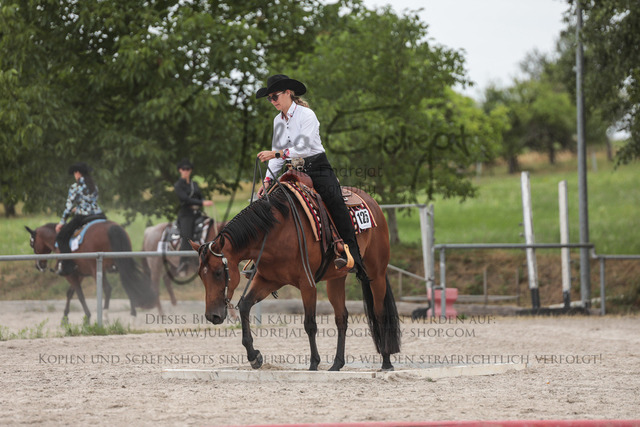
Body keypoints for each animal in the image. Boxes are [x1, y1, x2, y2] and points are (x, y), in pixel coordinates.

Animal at [25, 221, 158, 323]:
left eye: (32, 243)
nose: (39, 265)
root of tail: (112, 228)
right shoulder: (80, 274)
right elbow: (70, 293)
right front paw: (65, 318)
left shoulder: (71, 275)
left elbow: (80, 295)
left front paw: (87, 317)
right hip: (121, 265)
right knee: (128, 282)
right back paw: (132, 316)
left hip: (97, 270)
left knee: (108, 288)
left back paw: (105, 316)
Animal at [192, 184, 401, 371]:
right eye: (200, 275)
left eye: (219, 272)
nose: (212, 316)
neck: (274, 232)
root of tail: (372, 202)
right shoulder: (267, 280)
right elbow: (244, 306)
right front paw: (254, 356)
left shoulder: (307, 284)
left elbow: (310, 323)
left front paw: (314, 363)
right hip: (336, 279)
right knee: (341, 317)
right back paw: (336, 364)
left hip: (376, 273)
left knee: (380, 313)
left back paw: (386, 361)